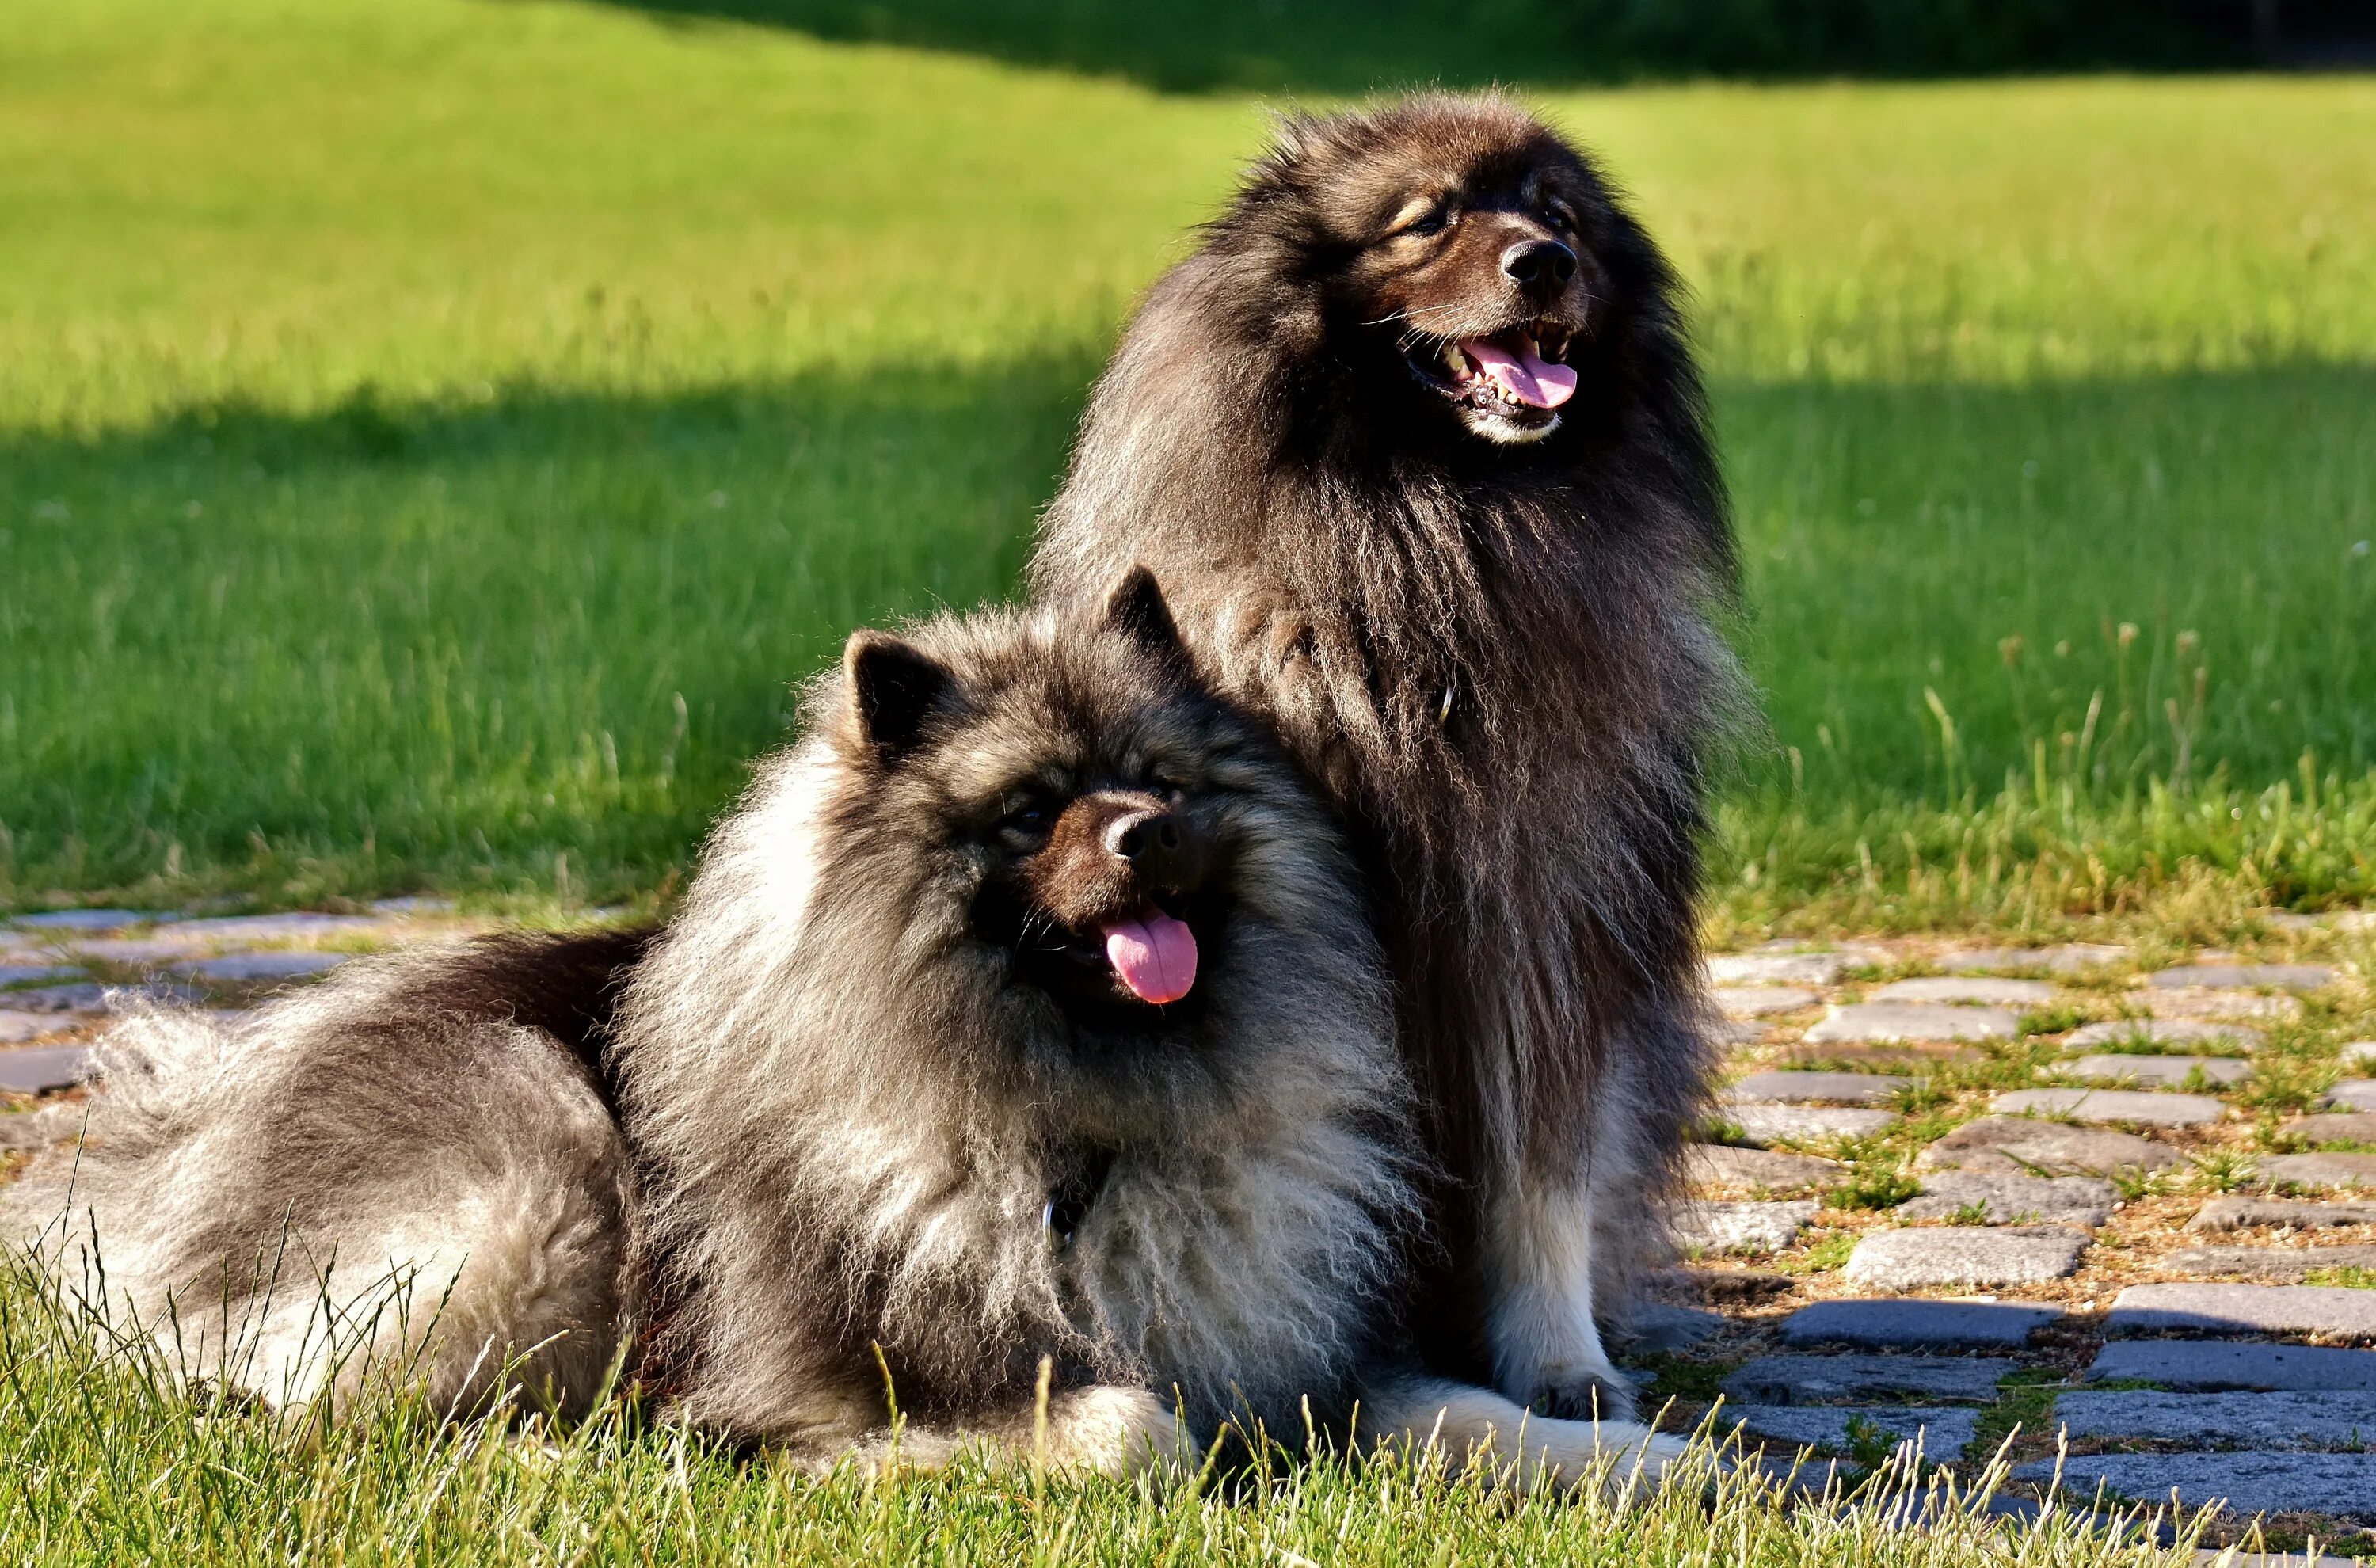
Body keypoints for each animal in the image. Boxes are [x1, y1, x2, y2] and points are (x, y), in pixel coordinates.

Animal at [18, 575, 1692, 1482]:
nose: (1148, 836)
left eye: (1165, 780)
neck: (1089, 1125)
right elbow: (1123, 1432)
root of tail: (208, 1103)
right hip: (536, 1167)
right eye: (1030, 811)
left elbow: (1467, 1412)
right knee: (299, 1403)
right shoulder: (865, 1362)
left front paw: (1650, 1463)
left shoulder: (1301, 1361)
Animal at [1031, 95, 1739, 1425]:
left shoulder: (1541, 950)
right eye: (1428, 220)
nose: (1543, 265)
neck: (1433, 538)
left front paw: (1559, 1367)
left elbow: (1539, 1184)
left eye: (1560, 217)